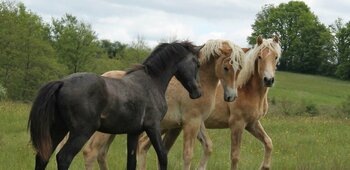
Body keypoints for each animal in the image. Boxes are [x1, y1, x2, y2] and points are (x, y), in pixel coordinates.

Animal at [28, 41, 204, 170]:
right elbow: (162, 156)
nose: (197, 92)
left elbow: (131, 162)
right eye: (196, 63)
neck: (152, 82)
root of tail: (62, 83)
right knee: (63, 157)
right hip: (81, 132)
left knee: (42, 157)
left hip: (58, 129)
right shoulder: (153, 127)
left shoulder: (134, 132)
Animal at [78, 39, 245, 169]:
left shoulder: (197, 123)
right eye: (226, 67)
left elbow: (208, 147)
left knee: (101, 154)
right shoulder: (191, 123)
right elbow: (187, 155)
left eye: (240, 69)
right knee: (90, 152)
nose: (231, 96)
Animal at [163, 35, 282, 169]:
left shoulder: (252, 124)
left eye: (276, 57)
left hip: (175, 126)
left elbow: (269, 143)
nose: (268, 80)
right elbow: (235, 156)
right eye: (260, 57)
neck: (246, 89)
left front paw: (265, 166)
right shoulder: (237, 124)